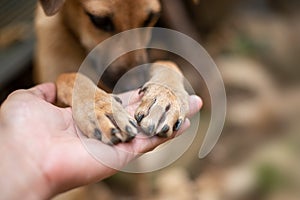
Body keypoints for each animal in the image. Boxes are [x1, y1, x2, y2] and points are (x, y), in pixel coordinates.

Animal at [35, 0, 189, 145]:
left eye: (151, 18)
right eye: (99, 20)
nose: (133, 86)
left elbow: (167, 63)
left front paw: (165, 95)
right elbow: (69, 76)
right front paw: (100, 107)